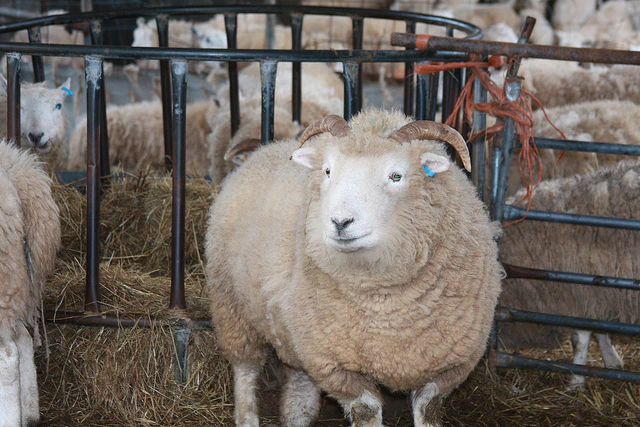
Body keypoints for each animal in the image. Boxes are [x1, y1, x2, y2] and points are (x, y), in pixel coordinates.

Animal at [205, 108, 503, 426]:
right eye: (327, 171)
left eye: (396, 175)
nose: (340, 222)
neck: (385, 306)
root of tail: (267, 148)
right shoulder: (335, 365)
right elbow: (367, 410)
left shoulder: (448, 367)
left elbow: (428, 409)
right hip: (232, 306)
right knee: (245, 368)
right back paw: (247, 415)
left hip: (296, 336)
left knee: (298, 387)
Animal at [498, 157, 640, 387]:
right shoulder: (598, 291)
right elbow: (600, 328)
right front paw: (612, 360)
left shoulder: (578, 288)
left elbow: (580, 337)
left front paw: (576, 380)